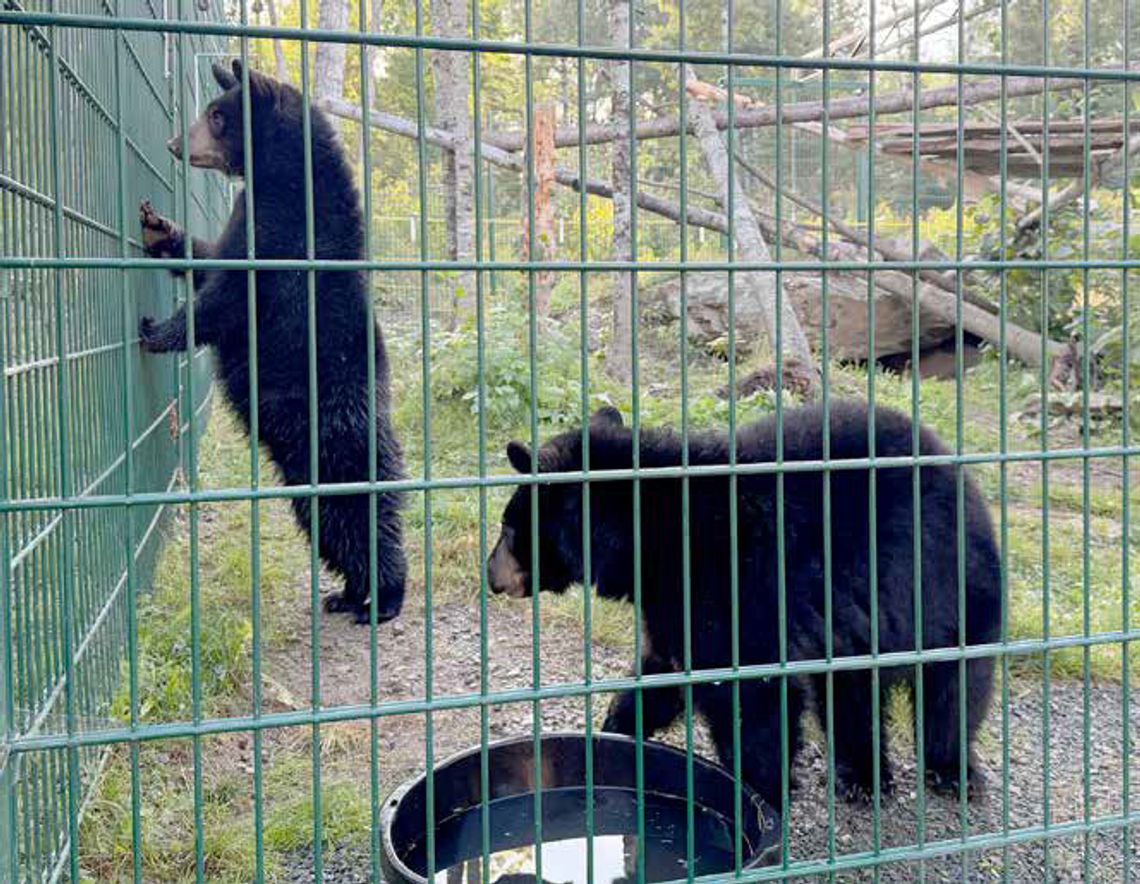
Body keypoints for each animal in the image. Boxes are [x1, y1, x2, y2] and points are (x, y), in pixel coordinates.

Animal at [138, 60, 406, 624]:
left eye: (217, 115)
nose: (175, 142)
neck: (283, 179)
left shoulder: (286, 243)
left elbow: (226, 301)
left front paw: (156, 330)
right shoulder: (248, 221)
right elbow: (212, 259)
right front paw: (160, 230)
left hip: (335, 438)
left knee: (363, 514)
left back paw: (385, 595)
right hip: (305, 472)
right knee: (326, 524)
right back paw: (347, 592)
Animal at [486, 401, 1001, 810]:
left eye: (508, 528)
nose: (490, 575)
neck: (651, 538)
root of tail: (954, 465)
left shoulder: (739, 585)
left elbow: (752, 694)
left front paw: (760, 793)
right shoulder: (673, 601)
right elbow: (664, 668)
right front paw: (615, 730)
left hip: (948, 583)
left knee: (954, 685)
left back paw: (951, 769)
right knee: (851, 692)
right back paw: (862, 776)